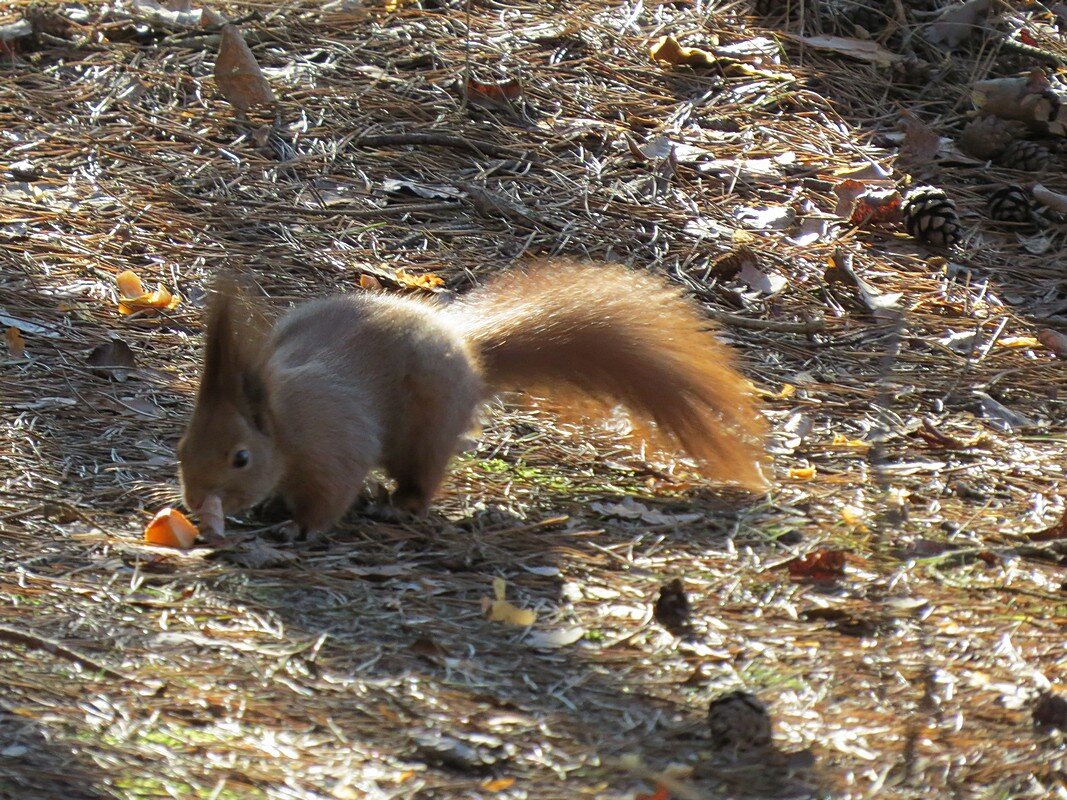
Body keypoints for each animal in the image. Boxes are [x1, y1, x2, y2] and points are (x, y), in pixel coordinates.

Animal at [179, 261, 772, 539]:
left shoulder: (334, 443)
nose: (195, 502)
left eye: (240, 457)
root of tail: (467, 349)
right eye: (182, 448)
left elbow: (330, 494)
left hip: (429, 430)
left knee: (422, 475)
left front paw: (297, 525)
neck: (283, 420)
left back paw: (400, 505)